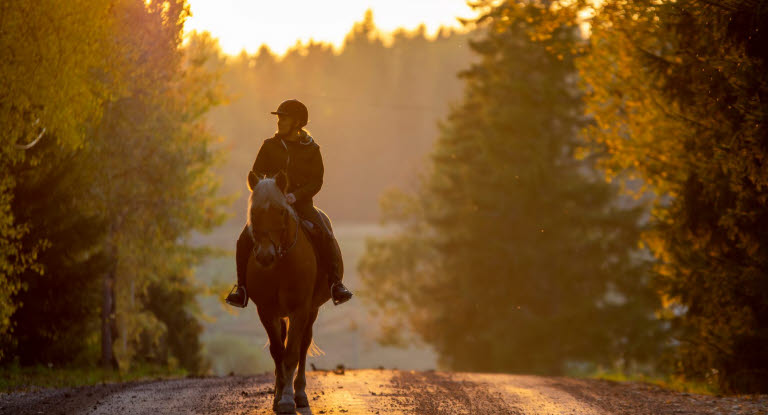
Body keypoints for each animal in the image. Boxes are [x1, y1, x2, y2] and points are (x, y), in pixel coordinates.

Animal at [244, 171, 338, 414]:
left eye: (281, 211)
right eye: (254, 212)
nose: (265, 256)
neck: (281, 262)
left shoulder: (300, 309)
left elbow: (292, 353)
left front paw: (287, 399)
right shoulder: (266, 310)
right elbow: (278, 352)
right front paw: (278, 398)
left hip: (311, 311)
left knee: (303, 347)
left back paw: (300, 394)